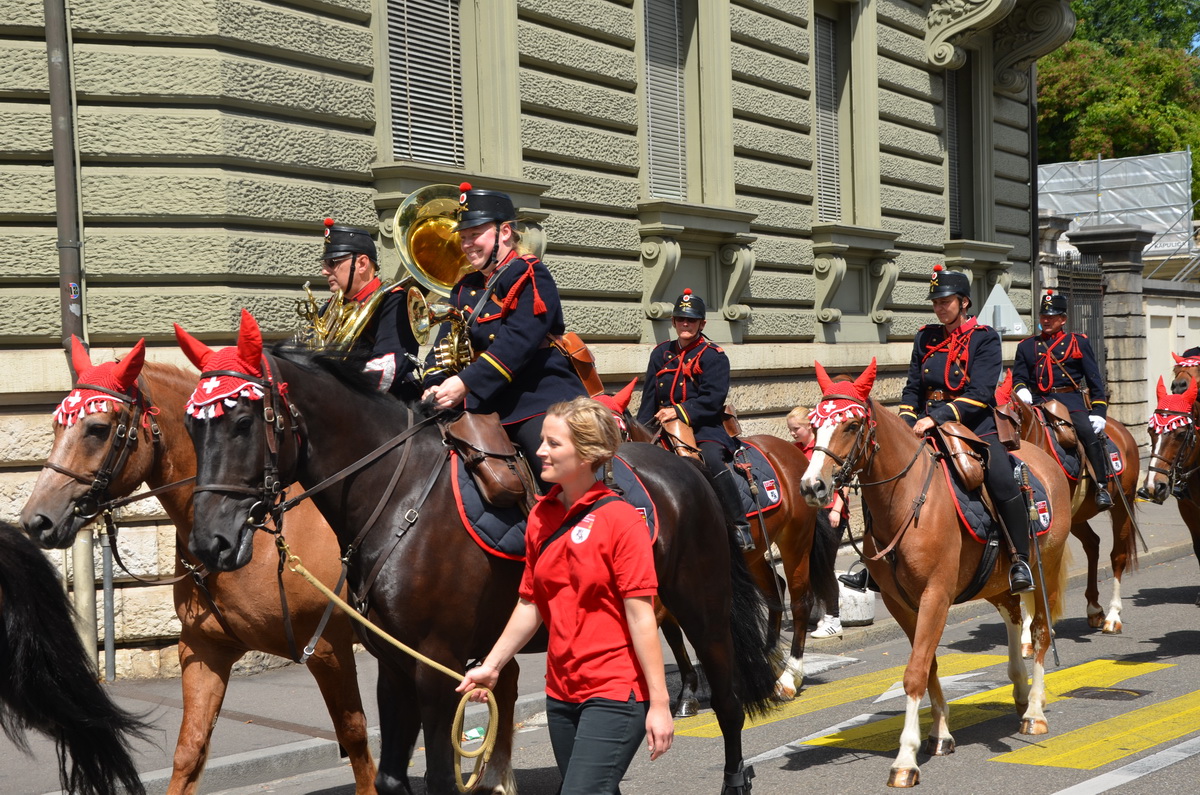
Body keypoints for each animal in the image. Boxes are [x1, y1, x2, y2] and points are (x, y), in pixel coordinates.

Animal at [18, 338, 376, 795]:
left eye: (97, 428)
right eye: (55, 426)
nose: (36, 520)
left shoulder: (329, 649)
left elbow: (356, 736)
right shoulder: (203, 650)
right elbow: (189, 750)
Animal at [173, 310, 778, 795]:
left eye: (243, 421)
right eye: (190, 426)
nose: (209, 543)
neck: (398, 497)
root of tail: (687, 469)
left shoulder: (437, 666)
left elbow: (442, 776)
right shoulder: (395, 666)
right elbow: (392, 776)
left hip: (703, 607)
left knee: (728, 701)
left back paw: (733, 775)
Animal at [798, 360, 1072, 788]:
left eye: (851, 425)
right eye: (813, 424)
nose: (812, 485)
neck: (906, 500)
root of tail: (1044, 460)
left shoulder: (935, 596)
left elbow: (914, 672)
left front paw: (905, 759)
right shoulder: (901, 603)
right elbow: (928, 665)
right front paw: (940, 734)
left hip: (1048, 563)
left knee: (1042, 632)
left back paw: (1034, 712)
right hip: (995, 579)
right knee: (1013, 614)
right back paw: (1021, 690)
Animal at [997, 384, 1141, 634]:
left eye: (1005, 417)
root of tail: (1121, 429)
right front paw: (1030, 629)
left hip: (1123, 505)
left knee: (1118, 556)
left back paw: (1113, 615)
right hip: (1077, 517)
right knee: (1093, 545)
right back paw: (1094, 609)